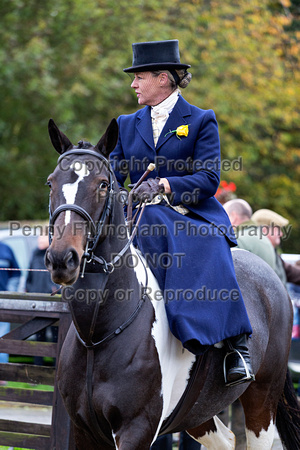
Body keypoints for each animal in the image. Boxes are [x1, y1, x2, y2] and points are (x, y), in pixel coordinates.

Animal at [45, 118, 300, 448]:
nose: (62, 258)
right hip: (198, 412)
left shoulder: (136, 430)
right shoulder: (83, 430)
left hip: (262, 401)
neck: (97, 332)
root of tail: (271, 277)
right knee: (226, 439)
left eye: (102, 184)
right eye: (51, 182)